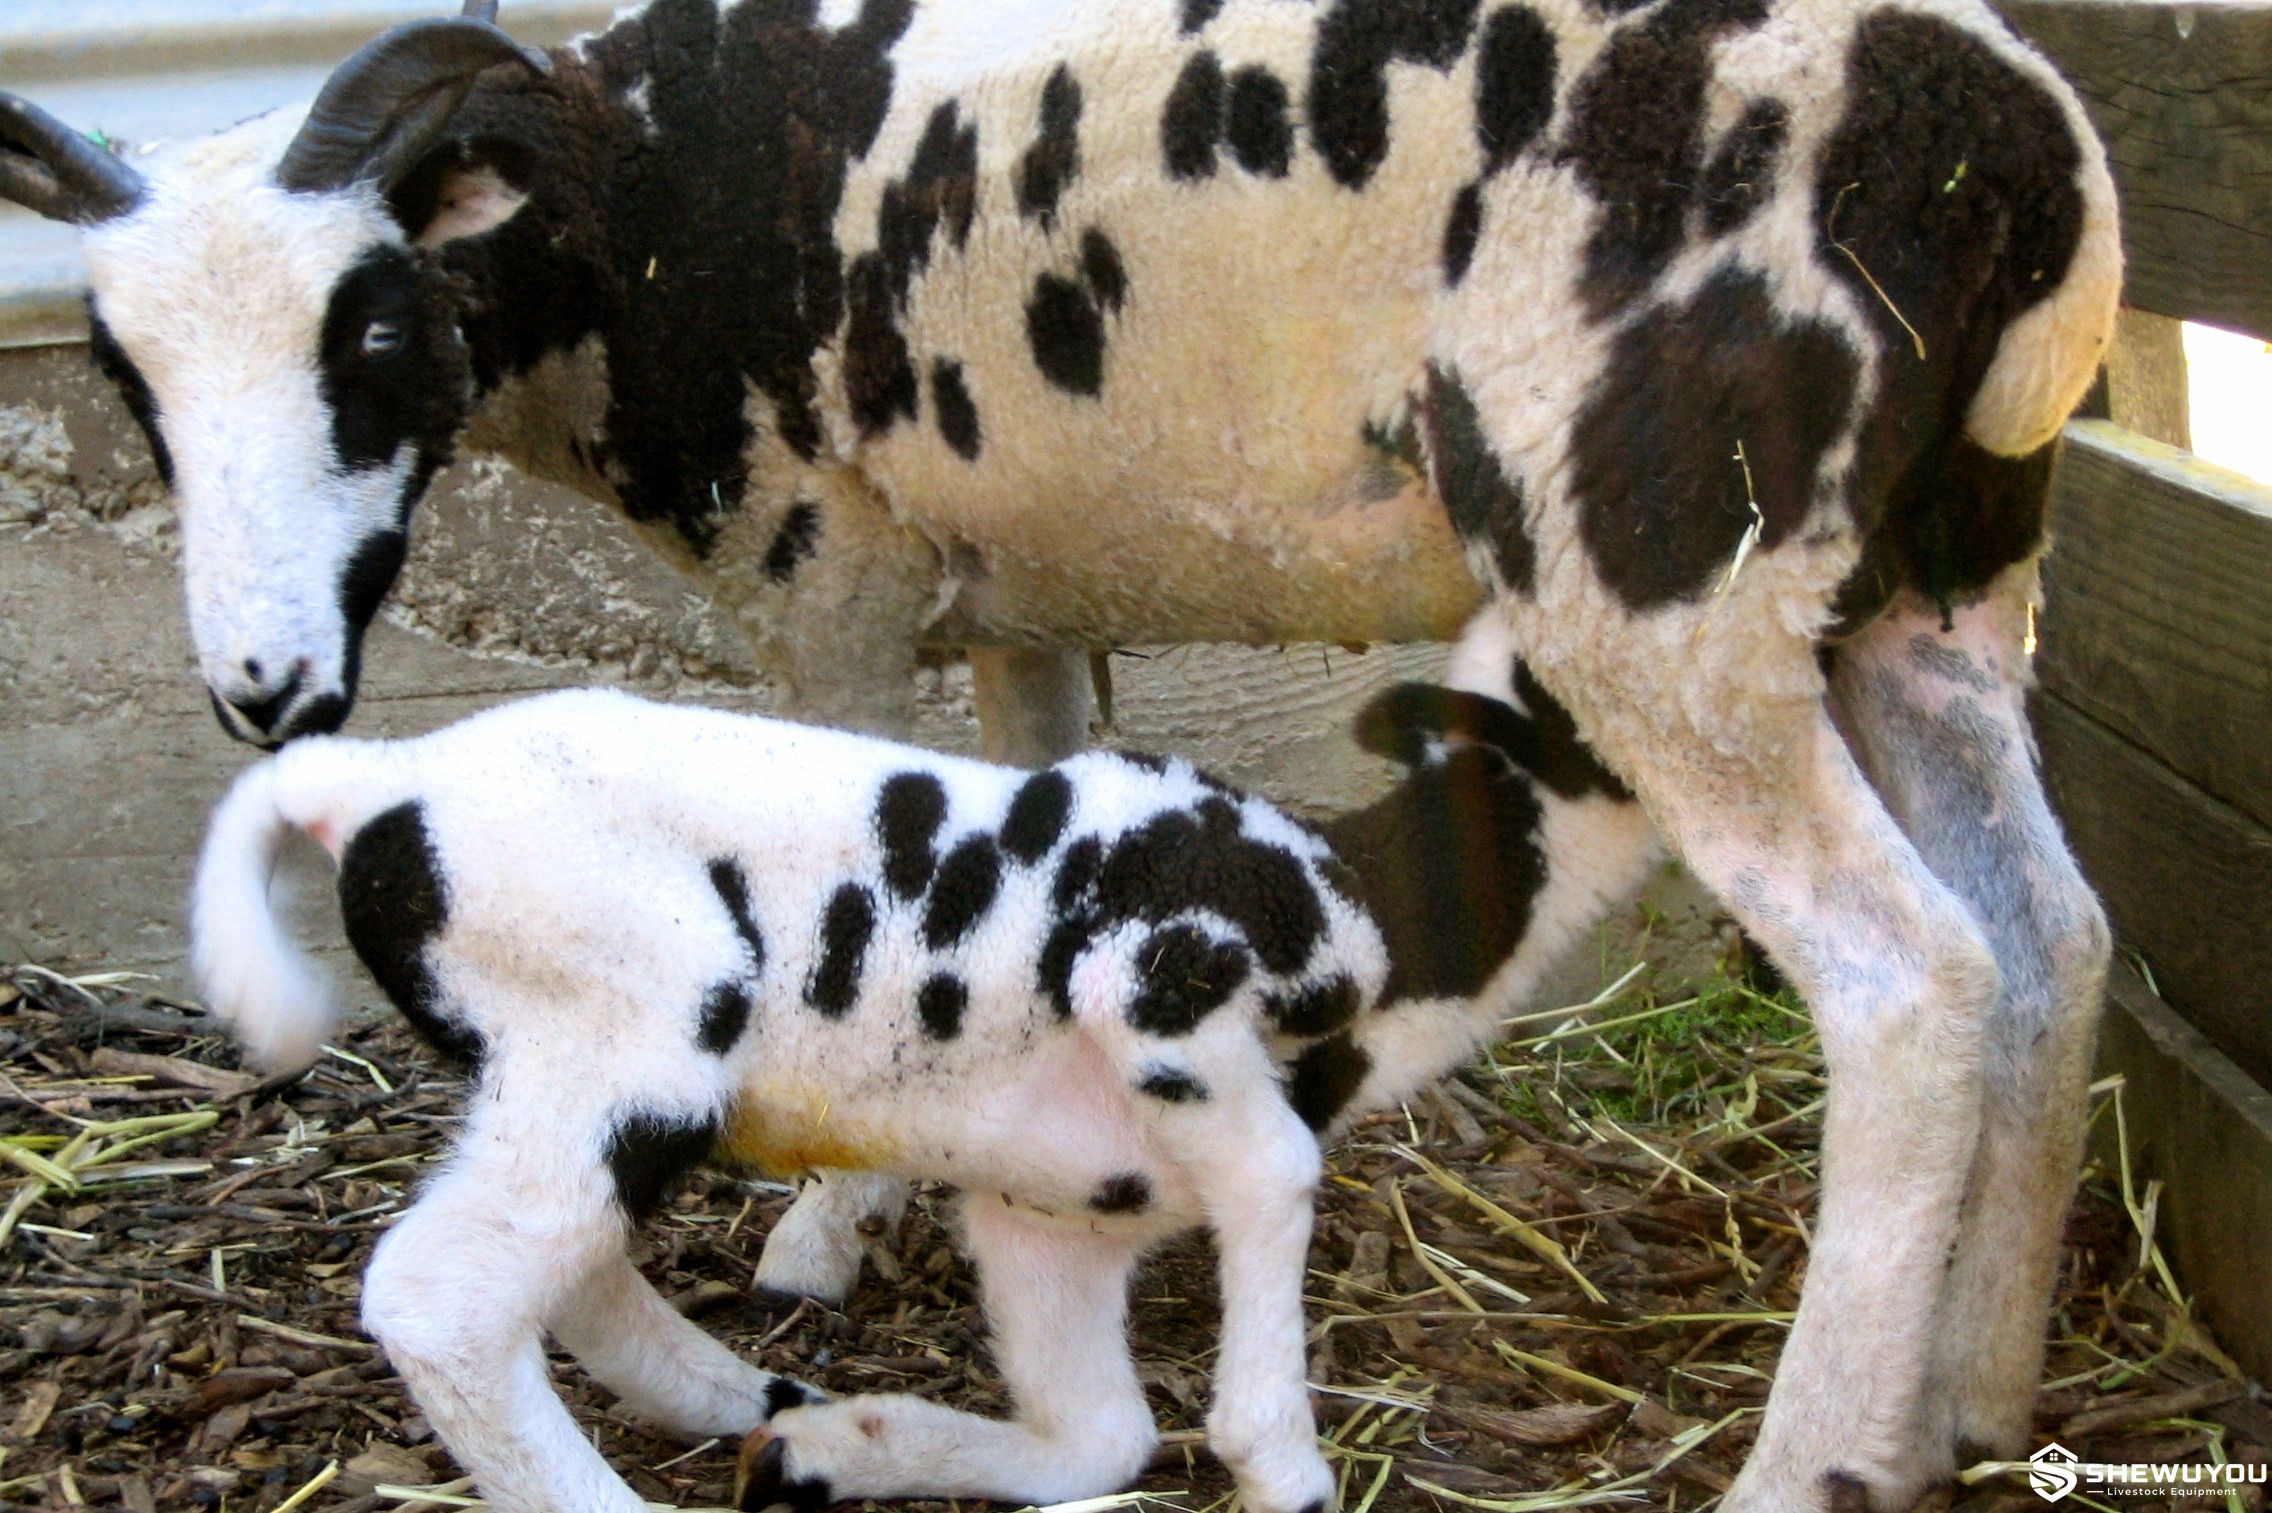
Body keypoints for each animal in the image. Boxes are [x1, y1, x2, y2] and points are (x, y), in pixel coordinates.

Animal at [189, 614, 1650, 1513]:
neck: (1389, 908)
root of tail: (374, 785)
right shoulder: (1155, 976)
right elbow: (1280, 1176)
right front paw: (1279, 1462)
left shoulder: (1050, 1213)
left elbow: (1099, 1436)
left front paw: (837, 1454)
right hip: (632, 1005)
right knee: (443, 1295)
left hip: (553, 1058)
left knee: (563, 1265)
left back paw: (748, 1399)